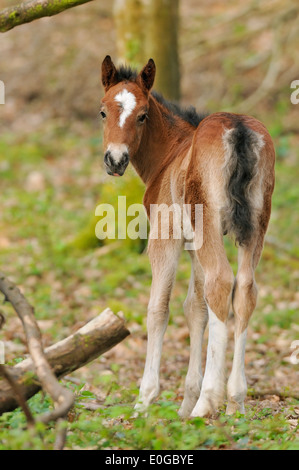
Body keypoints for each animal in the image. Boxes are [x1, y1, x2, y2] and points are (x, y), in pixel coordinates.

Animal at [99, 56, 276, 418]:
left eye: (142, 115)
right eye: (103, 112)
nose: (115, 160)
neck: (170, 155)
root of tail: (238, 128)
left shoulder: (165, 236)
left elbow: (158, 309)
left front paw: (145, 400)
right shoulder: (194, 244)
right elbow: (196, 308)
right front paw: (185, 402)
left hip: (209, 224)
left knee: (222, 282)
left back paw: (208, 401)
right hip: (256, 226)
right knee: (244, 290)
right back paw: (235, 400)